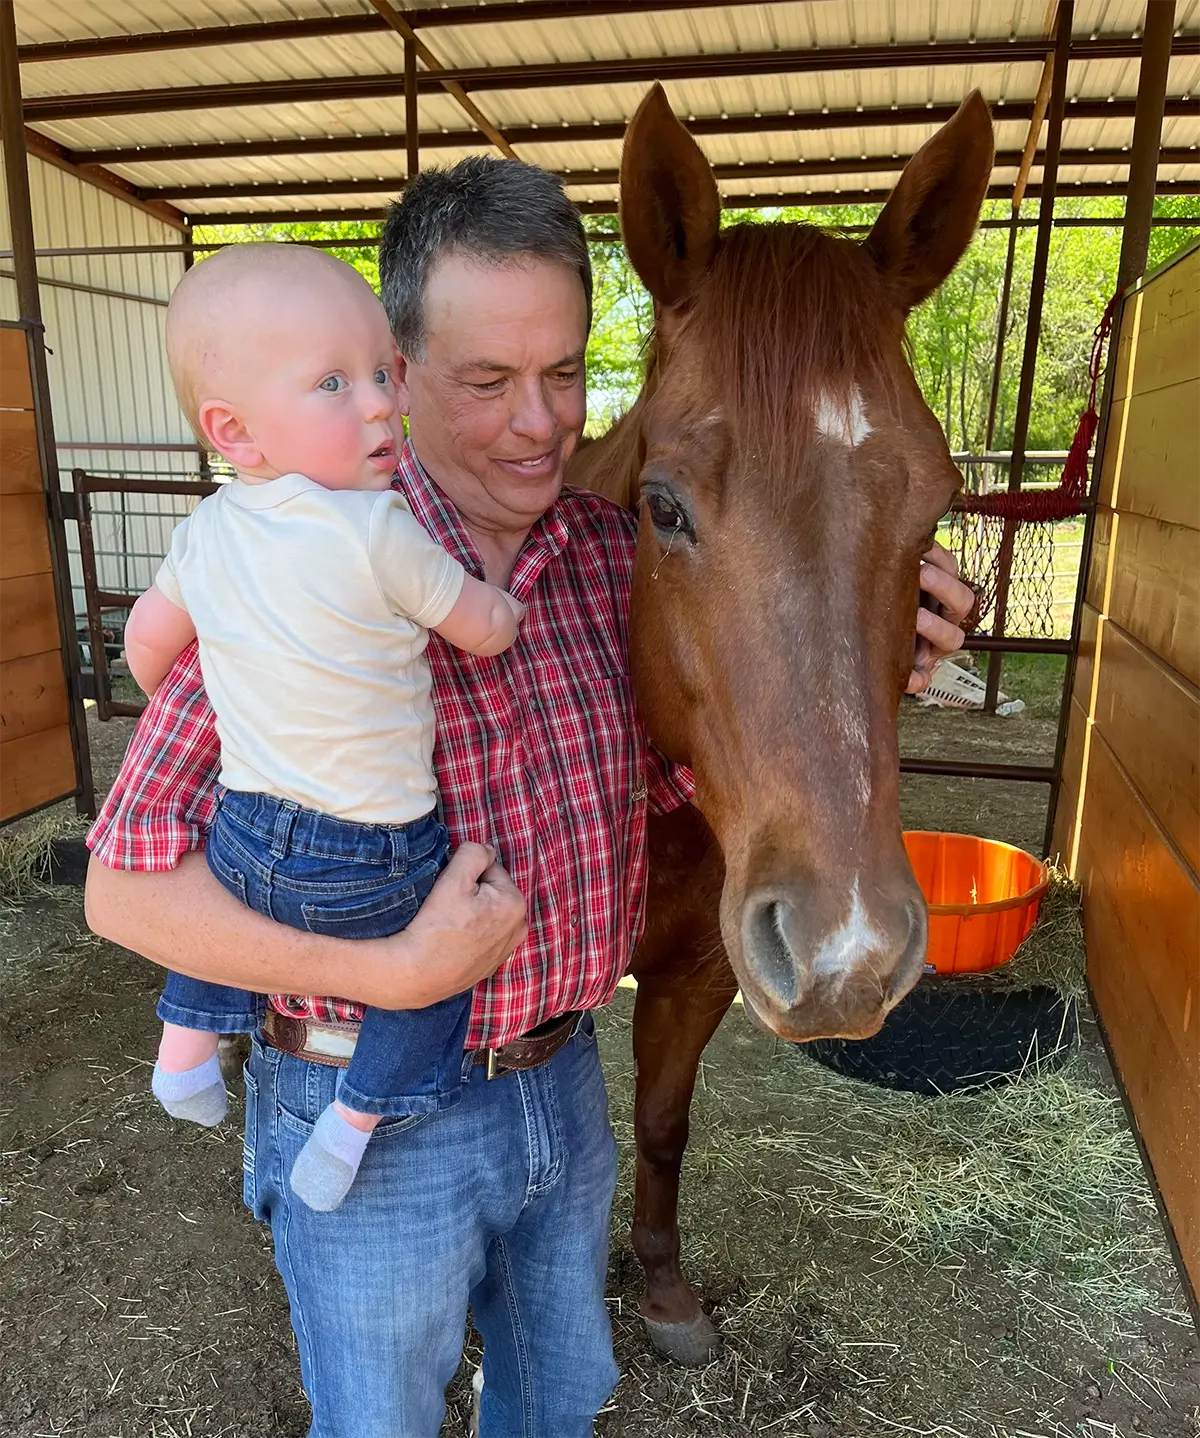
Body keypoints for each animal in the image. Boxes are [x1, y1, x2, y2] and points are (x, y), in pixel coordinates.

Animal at [566, 84, 989, 1363]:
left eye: (937, 509)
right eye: (662, 505)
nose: (851, 954)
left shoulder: (705, 974)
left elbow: (661, 1124)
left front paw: (663, 1289)